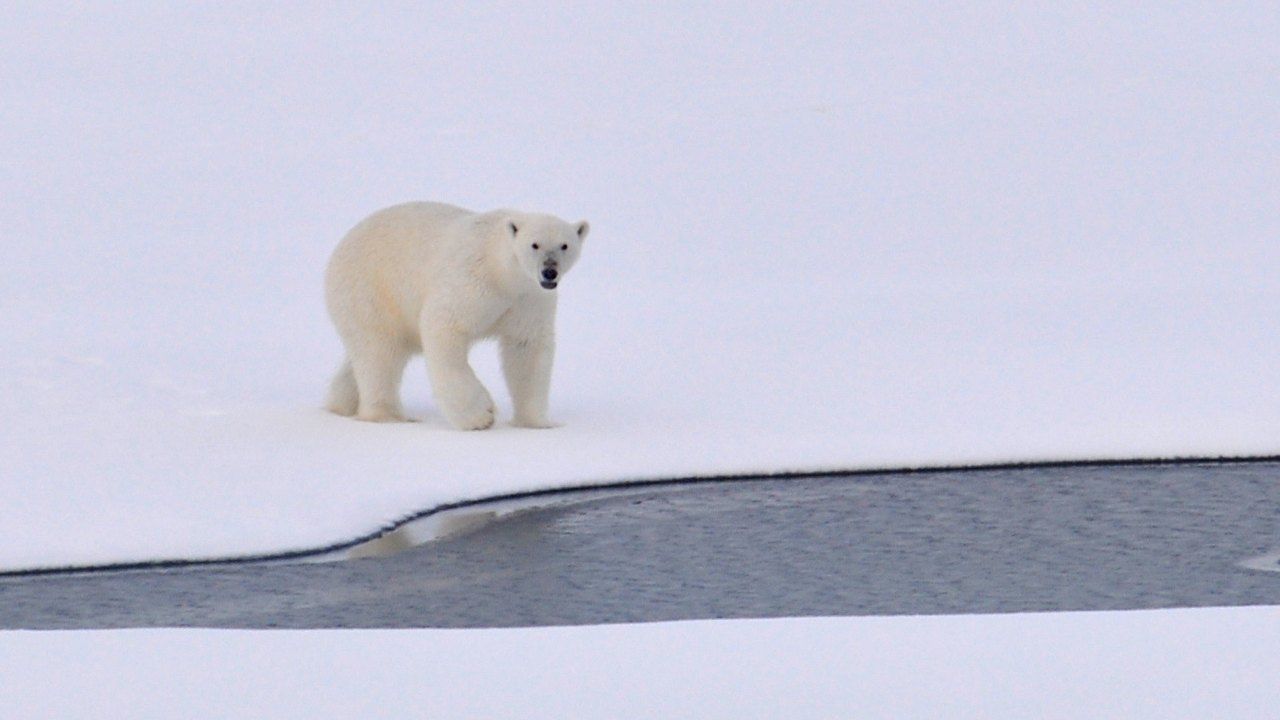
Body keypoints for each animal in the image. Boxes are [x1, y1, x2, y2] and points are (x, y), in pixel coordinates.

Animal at [327, 198, 591, 427]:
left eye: (565, 245)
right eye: (534, 244)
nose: (549, 271)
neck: (502, 271)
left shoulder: (529, 299)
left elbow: (527, 348)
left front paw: (537, 422)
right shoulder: (472, 279)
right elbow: (445, 325)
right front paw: (480, 415)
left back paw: (340, 404)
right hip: (371, 292)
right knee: (379, 352)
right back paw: (388, 415)